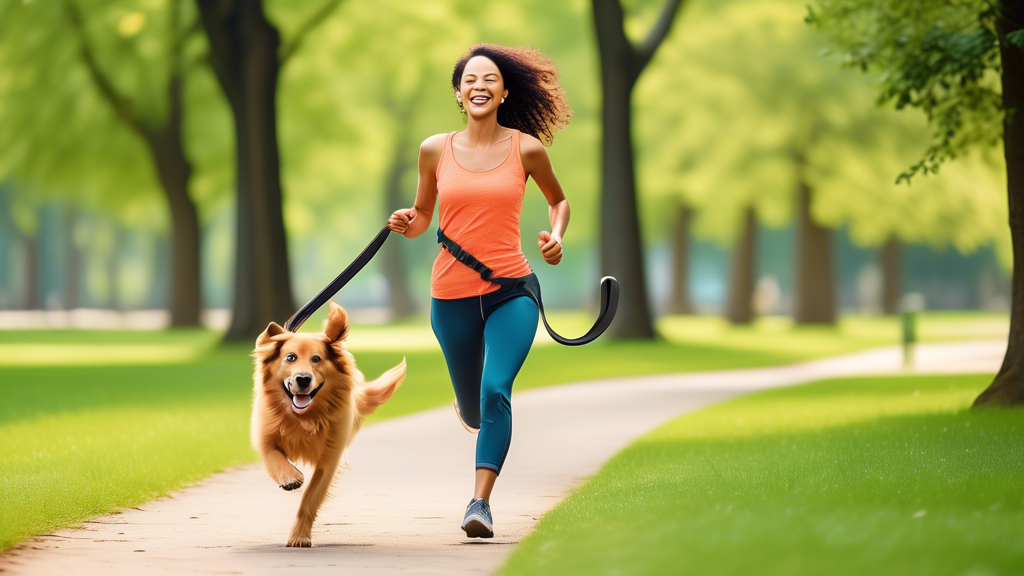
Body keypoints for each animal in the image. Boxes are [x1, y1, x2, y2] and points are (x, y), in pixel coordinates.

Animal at [249, 297, 405, 545]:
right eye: (290, 357)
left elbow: (310, 497)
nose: (303, 379)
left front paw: (299, 536)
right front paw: (290, 476)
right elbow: (275, 459)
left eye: (316, 358)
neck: (304, 417)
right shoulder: (265, 437)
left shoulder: (330, 458)